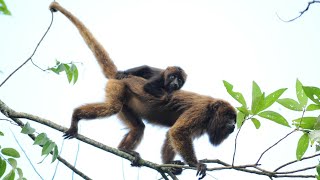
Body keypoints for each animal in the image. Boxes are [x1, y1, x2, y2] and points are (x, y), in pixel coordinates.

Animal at [49, 2, 235, 179]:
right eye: (229, 117)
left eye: (234, 119)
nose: (233, 125)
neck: (211, 110)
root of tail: (122, 76)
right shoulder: (200, 111)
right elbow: (177, 132)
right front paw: (195, 164)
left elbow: (170, 134)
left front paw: (168, 166)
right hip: (117, 87)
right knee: (112, 107)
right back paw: (76, 116)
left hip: (126, 103)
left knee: (138, 127)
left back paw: (124, 150)